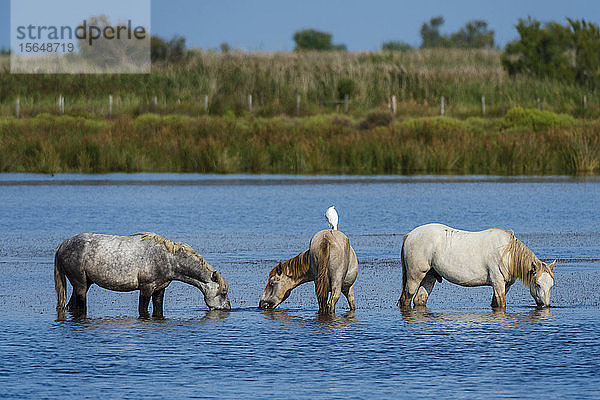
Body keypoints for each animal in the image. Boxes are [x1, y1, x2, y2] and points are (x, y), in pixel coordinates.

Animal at [55, 233, 231, 318]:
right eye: (223, 292)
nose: (228, 309)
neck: (168, 258)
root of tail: (63, 245)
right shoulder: (146, 288)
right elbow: (143, 309)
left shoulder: (160, 289)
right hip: (80, 284)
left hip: (83, 284)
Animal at [398, 223, 556, 310]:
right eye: (537, 284)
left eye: (551, 285)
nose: (546, 306)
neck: (507, 254)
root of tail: (410, 234)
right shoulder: (498, 284)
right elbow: (501, 304)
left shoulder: (505, 285)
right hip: (414, 276)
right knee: (406, 299)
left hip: (429, 276)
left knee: (419, 299)